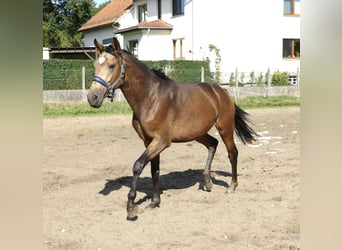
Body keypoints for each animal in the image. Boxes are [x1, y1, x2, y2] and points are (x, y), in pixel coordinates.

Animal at [87, 37, 258, 221]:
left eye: (112, 65)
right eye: (95, 65)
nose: (92, 98)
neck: (150, 98)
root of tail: (222, 91)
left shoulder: (162, 141)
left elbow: (138, 165)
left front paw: (131, 207)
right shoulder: (149, 141)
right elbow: (154, 169)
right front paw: (154, 202)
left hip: (225, 127)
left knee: (232, 153)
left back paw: (231, 186)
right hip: (197, 133)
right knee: (213, 144)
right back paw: (207, 182)